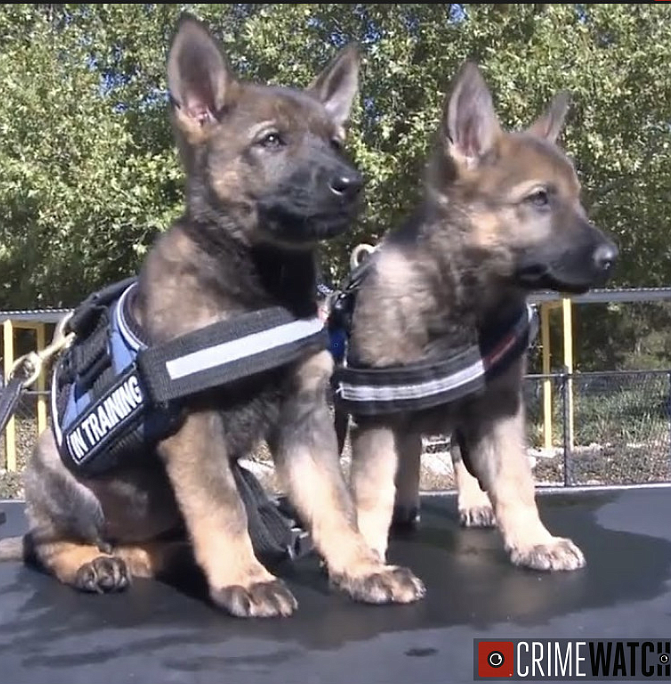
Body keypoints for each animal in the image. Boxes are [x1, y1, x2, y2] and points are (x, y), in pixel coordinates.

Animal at [0, 14, 426, 616]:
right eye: (271, 141)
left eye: (335, 143)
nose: (352, 185)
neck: (260, 286)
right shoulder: (195, 428)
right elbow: (222, 508)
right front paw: (244, 579)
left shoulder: (304, 418)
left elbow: (333, 502)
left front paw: (363, 568)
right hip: (56, 473)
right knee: (46, 541)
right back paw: (90, 563)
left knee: (141, 546)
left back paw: (164, 559)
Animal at [342, 60, 620, 572]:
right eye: (540, 198)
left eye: (577, 199)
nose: (612, 258)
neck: (460, 301)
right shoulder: (376, 418)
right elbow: (370, 491)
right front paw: (366, 552)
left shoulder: (499, 410)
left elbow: (514, 480)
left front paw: (533, 540)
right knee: (409, 456)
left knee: (455, 456)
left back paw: (472, 502)